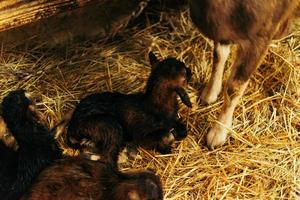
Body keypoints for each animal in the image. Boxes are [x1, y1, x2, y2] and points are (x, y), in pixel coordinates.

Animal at [64, 51, 192, 161]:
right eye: (184, 73)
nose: (191, 72)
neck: (154, 106)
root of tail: (72, 131)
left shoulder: (172, 121)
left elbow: (182, 130)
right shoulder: (142, 134)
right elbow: (165, 135)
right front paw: (166, 148)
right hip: (109, 124)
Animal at [189, 0, 298, 148]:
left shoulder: (261, 36)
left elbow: (234, 87)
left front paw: (218, 132)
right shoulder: (223, 28)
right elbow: (219, 55)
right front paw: (210, 93)